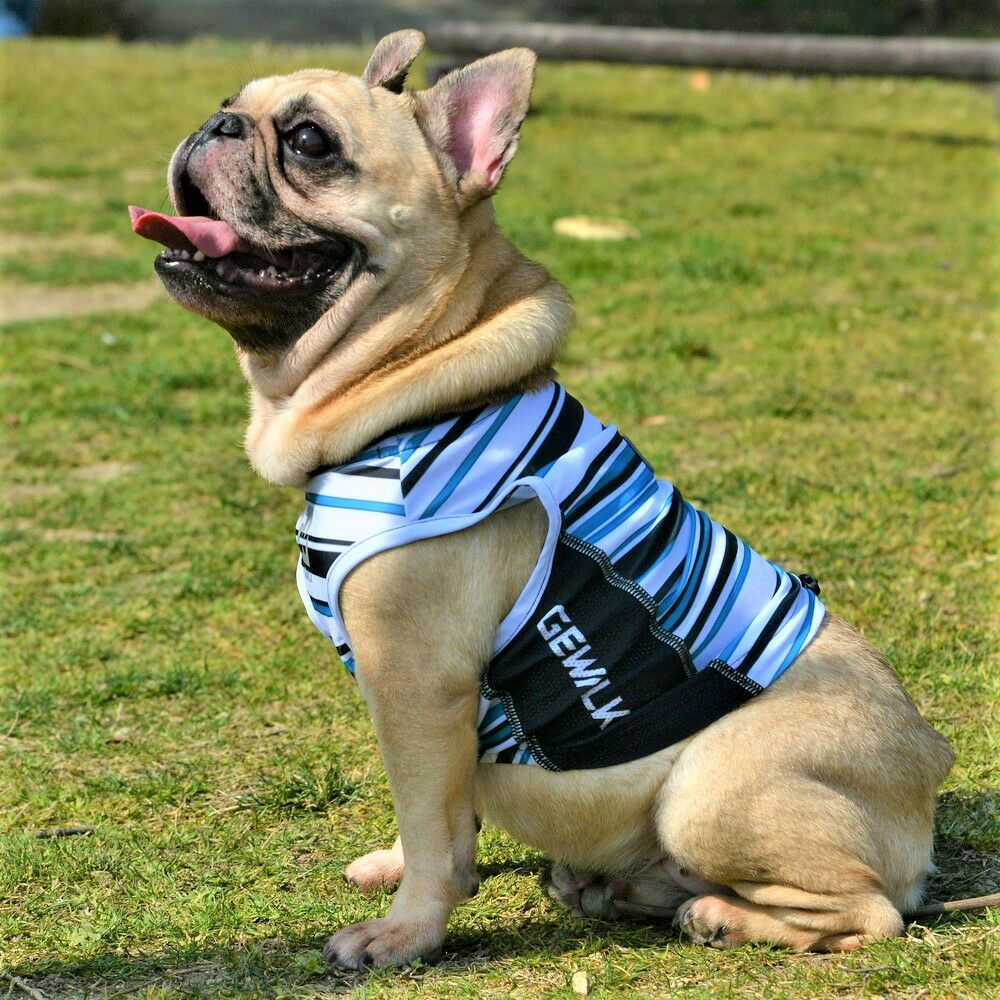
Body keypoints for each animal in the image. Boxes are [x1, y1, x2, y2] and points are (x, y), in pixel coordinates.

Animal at [130, 30, 954, 968]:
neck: (414, 384)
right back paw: (623, 889)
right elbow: (438, 813)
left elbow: (432, 822)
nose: (216, 124)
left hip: (709, 790)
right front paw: (400, 869)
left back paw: (715, 914)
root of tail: (929, 763)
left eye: (309, 142)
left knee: (869, 912)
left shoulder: (419, 684)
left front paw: (408, 930)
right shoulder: (429, 715)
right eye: (230, 101)